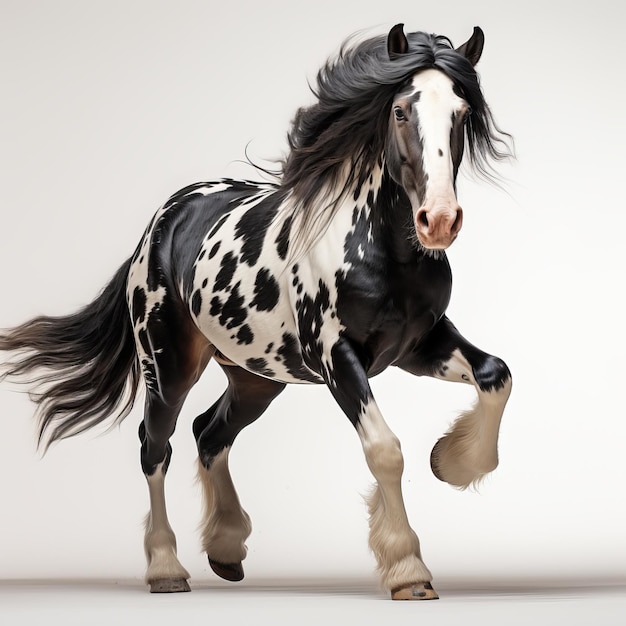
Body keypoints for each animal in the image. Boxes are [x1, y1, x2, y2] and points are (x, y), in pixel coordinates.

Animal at [0, 25, 512, 600]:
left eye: (462, 113)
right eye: (401, 110)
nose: (439, 220)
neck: (382, 251)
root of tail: (162, 222)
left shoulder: (419, 345)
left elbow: (496, 374)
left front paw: (452, 463)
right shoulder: (337, 357)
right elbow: (385, 448)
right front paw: (409, 570)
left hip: (256, 379)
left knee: (209, 432)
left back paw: (225, 547)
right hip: (168, 367)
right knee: (155, 447)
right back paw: (166, 568)